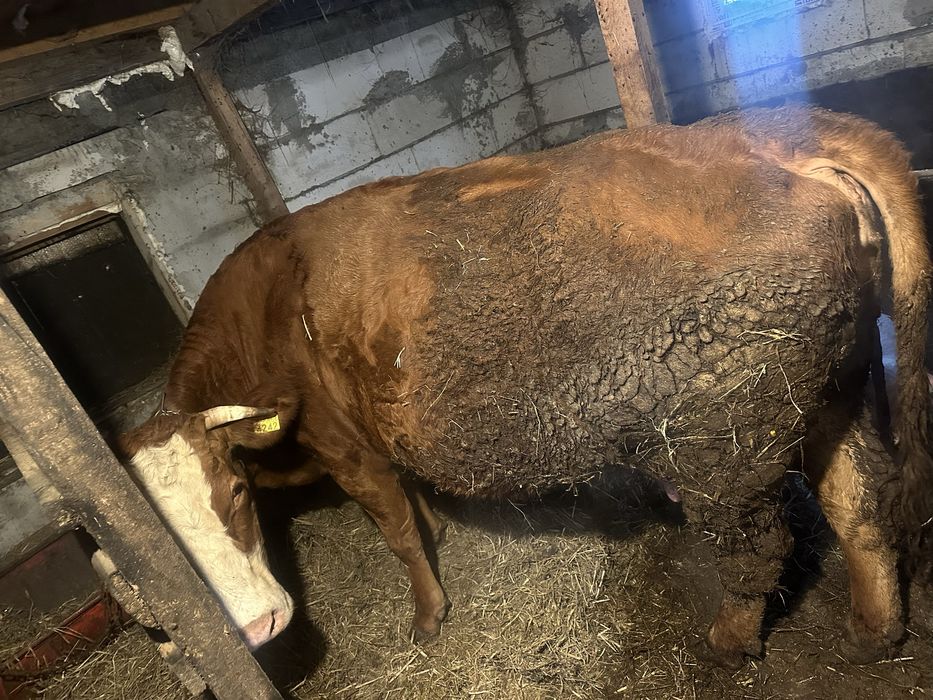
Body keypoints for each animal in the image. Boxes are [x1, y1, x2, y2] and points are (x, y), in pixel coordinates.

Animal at [119, 106, 933, 668]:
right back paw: (873, 631)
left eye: (233, 494)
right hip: (834, 385)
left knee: (759, 546)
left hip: (724, 435)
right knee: (859, 501)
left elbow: (396, 530)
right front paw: (441, 532)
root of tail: (767, 134)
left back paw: (729, 641)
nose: (257, 627)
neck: (262, 314)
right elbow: (414, 504)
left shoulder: (341, 441)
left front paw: (427, 615)